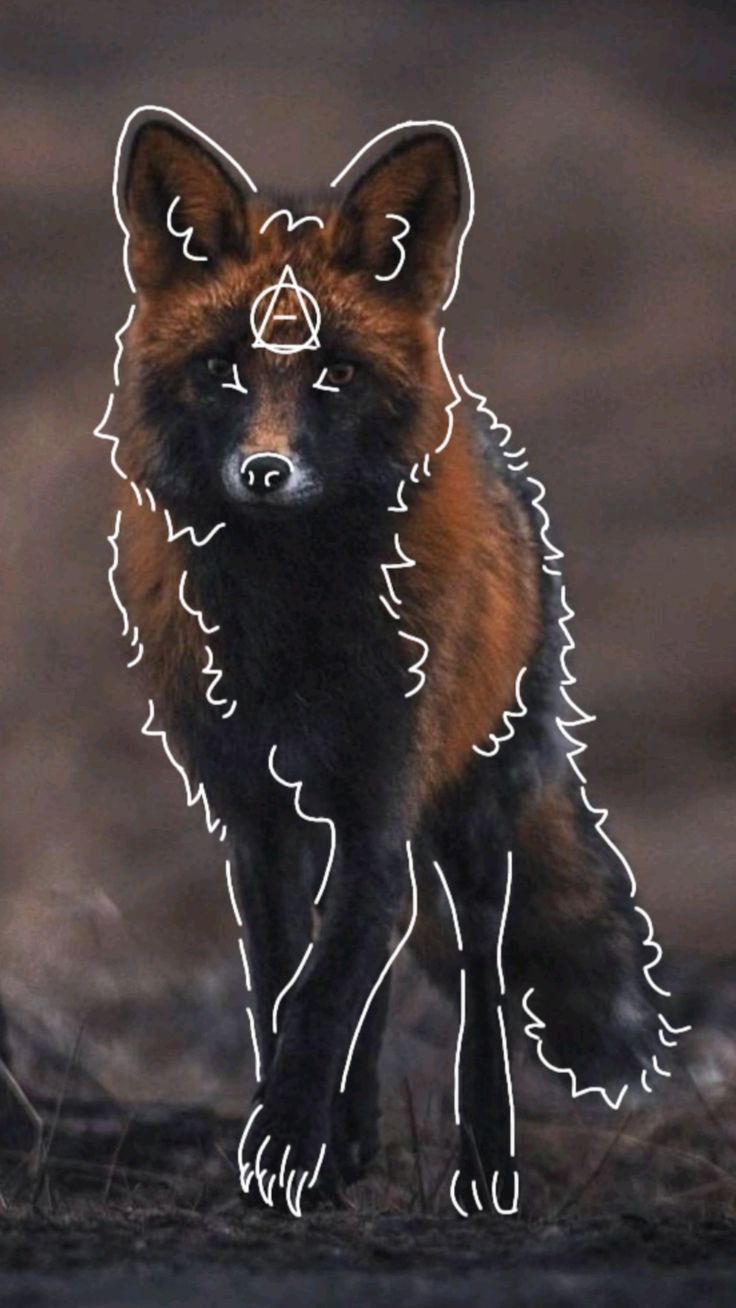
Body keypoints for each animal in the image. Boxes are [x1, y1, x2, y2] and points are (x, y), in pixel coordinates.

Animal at [104, 111, 687, 1215]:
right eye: (222, 369)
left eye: (333, 374)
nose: (266, 472)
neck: (292, 623)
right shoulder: (257, 818)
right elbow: (288, 989)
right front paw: (299, 1148)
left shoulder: (378, 794)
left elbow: (326, 992)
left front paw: (288, 1143)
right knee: (368, 970)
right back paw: (354, 1145)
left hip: (474, 813)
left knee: (477, 980)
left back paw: (484, 1166)